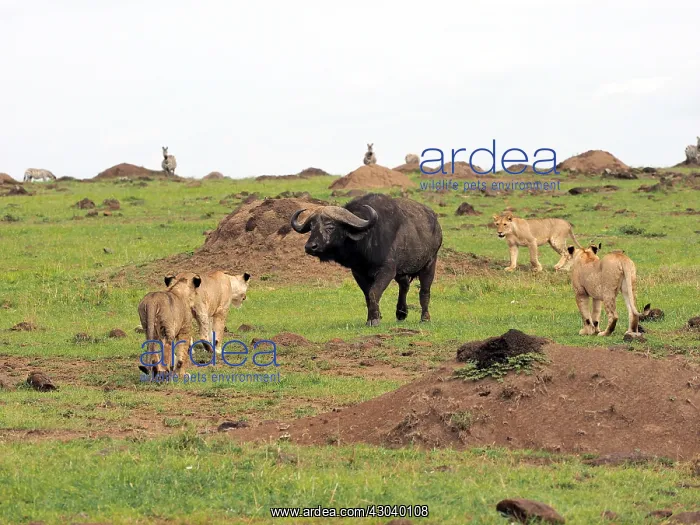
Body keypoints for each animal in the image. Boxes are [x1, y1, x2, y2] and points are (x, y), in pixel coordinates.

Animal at [291, 193, 442, 326]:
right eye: (311, 227)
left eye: (330, 226)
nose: (310, 246)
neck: (367, 239)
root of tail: (436, 224)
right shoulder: (358, 272)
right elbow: (367, 296)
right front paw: (372, 317)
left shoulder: (387, 271)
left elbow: (374, 292)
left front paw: (374, 320)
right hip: (401, 271)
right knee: (404, 285)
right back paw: (401, 313)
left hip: (430, 263)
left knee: (424, 291)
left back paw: (425, 318)